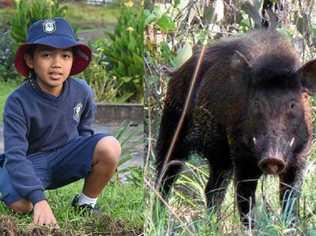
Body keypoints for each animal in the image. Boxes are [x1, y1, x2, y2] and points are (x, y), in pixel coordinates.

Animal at [157, 30, 316, 227]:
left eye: (292, 104)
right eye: (256, 103)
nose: (272, 158)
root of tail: (176, 73)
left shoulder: (301, 157)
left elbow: (290, 199)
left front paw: (292, 227)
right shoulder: (241, 155)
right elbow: (245, 199)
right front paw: (252, 229)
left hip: (221, 158)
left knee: (212, 189)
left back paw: (213, 225)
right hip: (171, 129)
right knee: (164, 175)